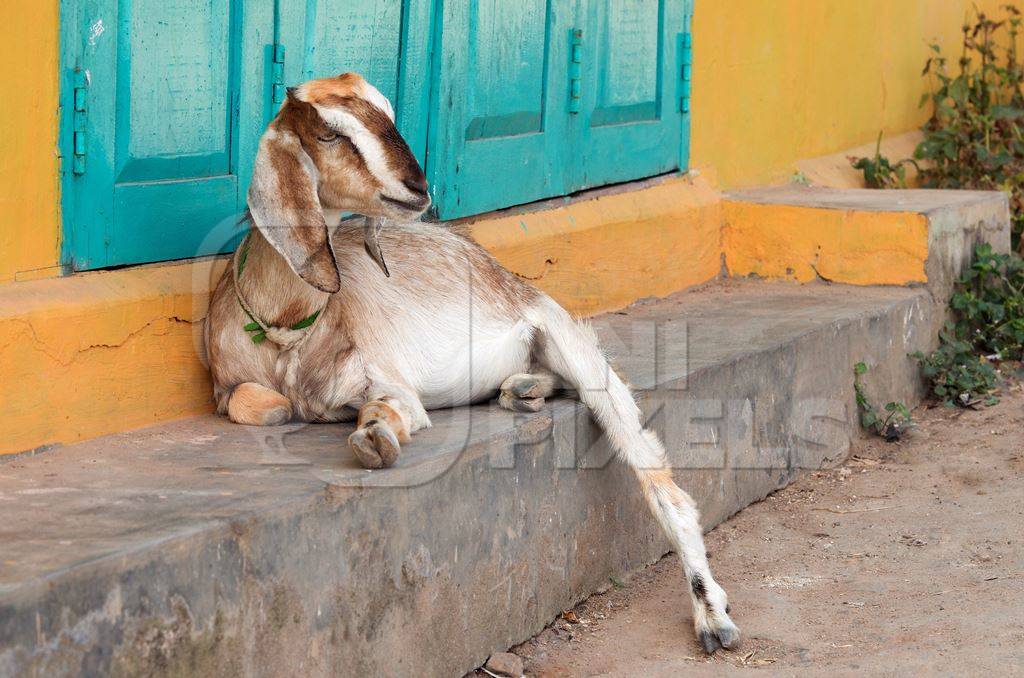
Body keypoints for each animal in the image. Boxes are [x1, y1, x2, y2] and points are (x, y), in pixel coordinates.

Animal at [203, 73, 741, 655]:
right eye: (330, 132)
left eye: (386, 109)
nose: (418, 186)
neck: (284, 329)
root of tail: (494, 266)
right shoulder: (227, 385)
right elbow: (257, 404)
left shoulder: (387, 379)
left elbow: (386, 409)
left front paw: (374, 438)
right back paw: (523, 389)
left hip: (567, 338)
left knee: (658, 475)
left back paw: (712, 614)